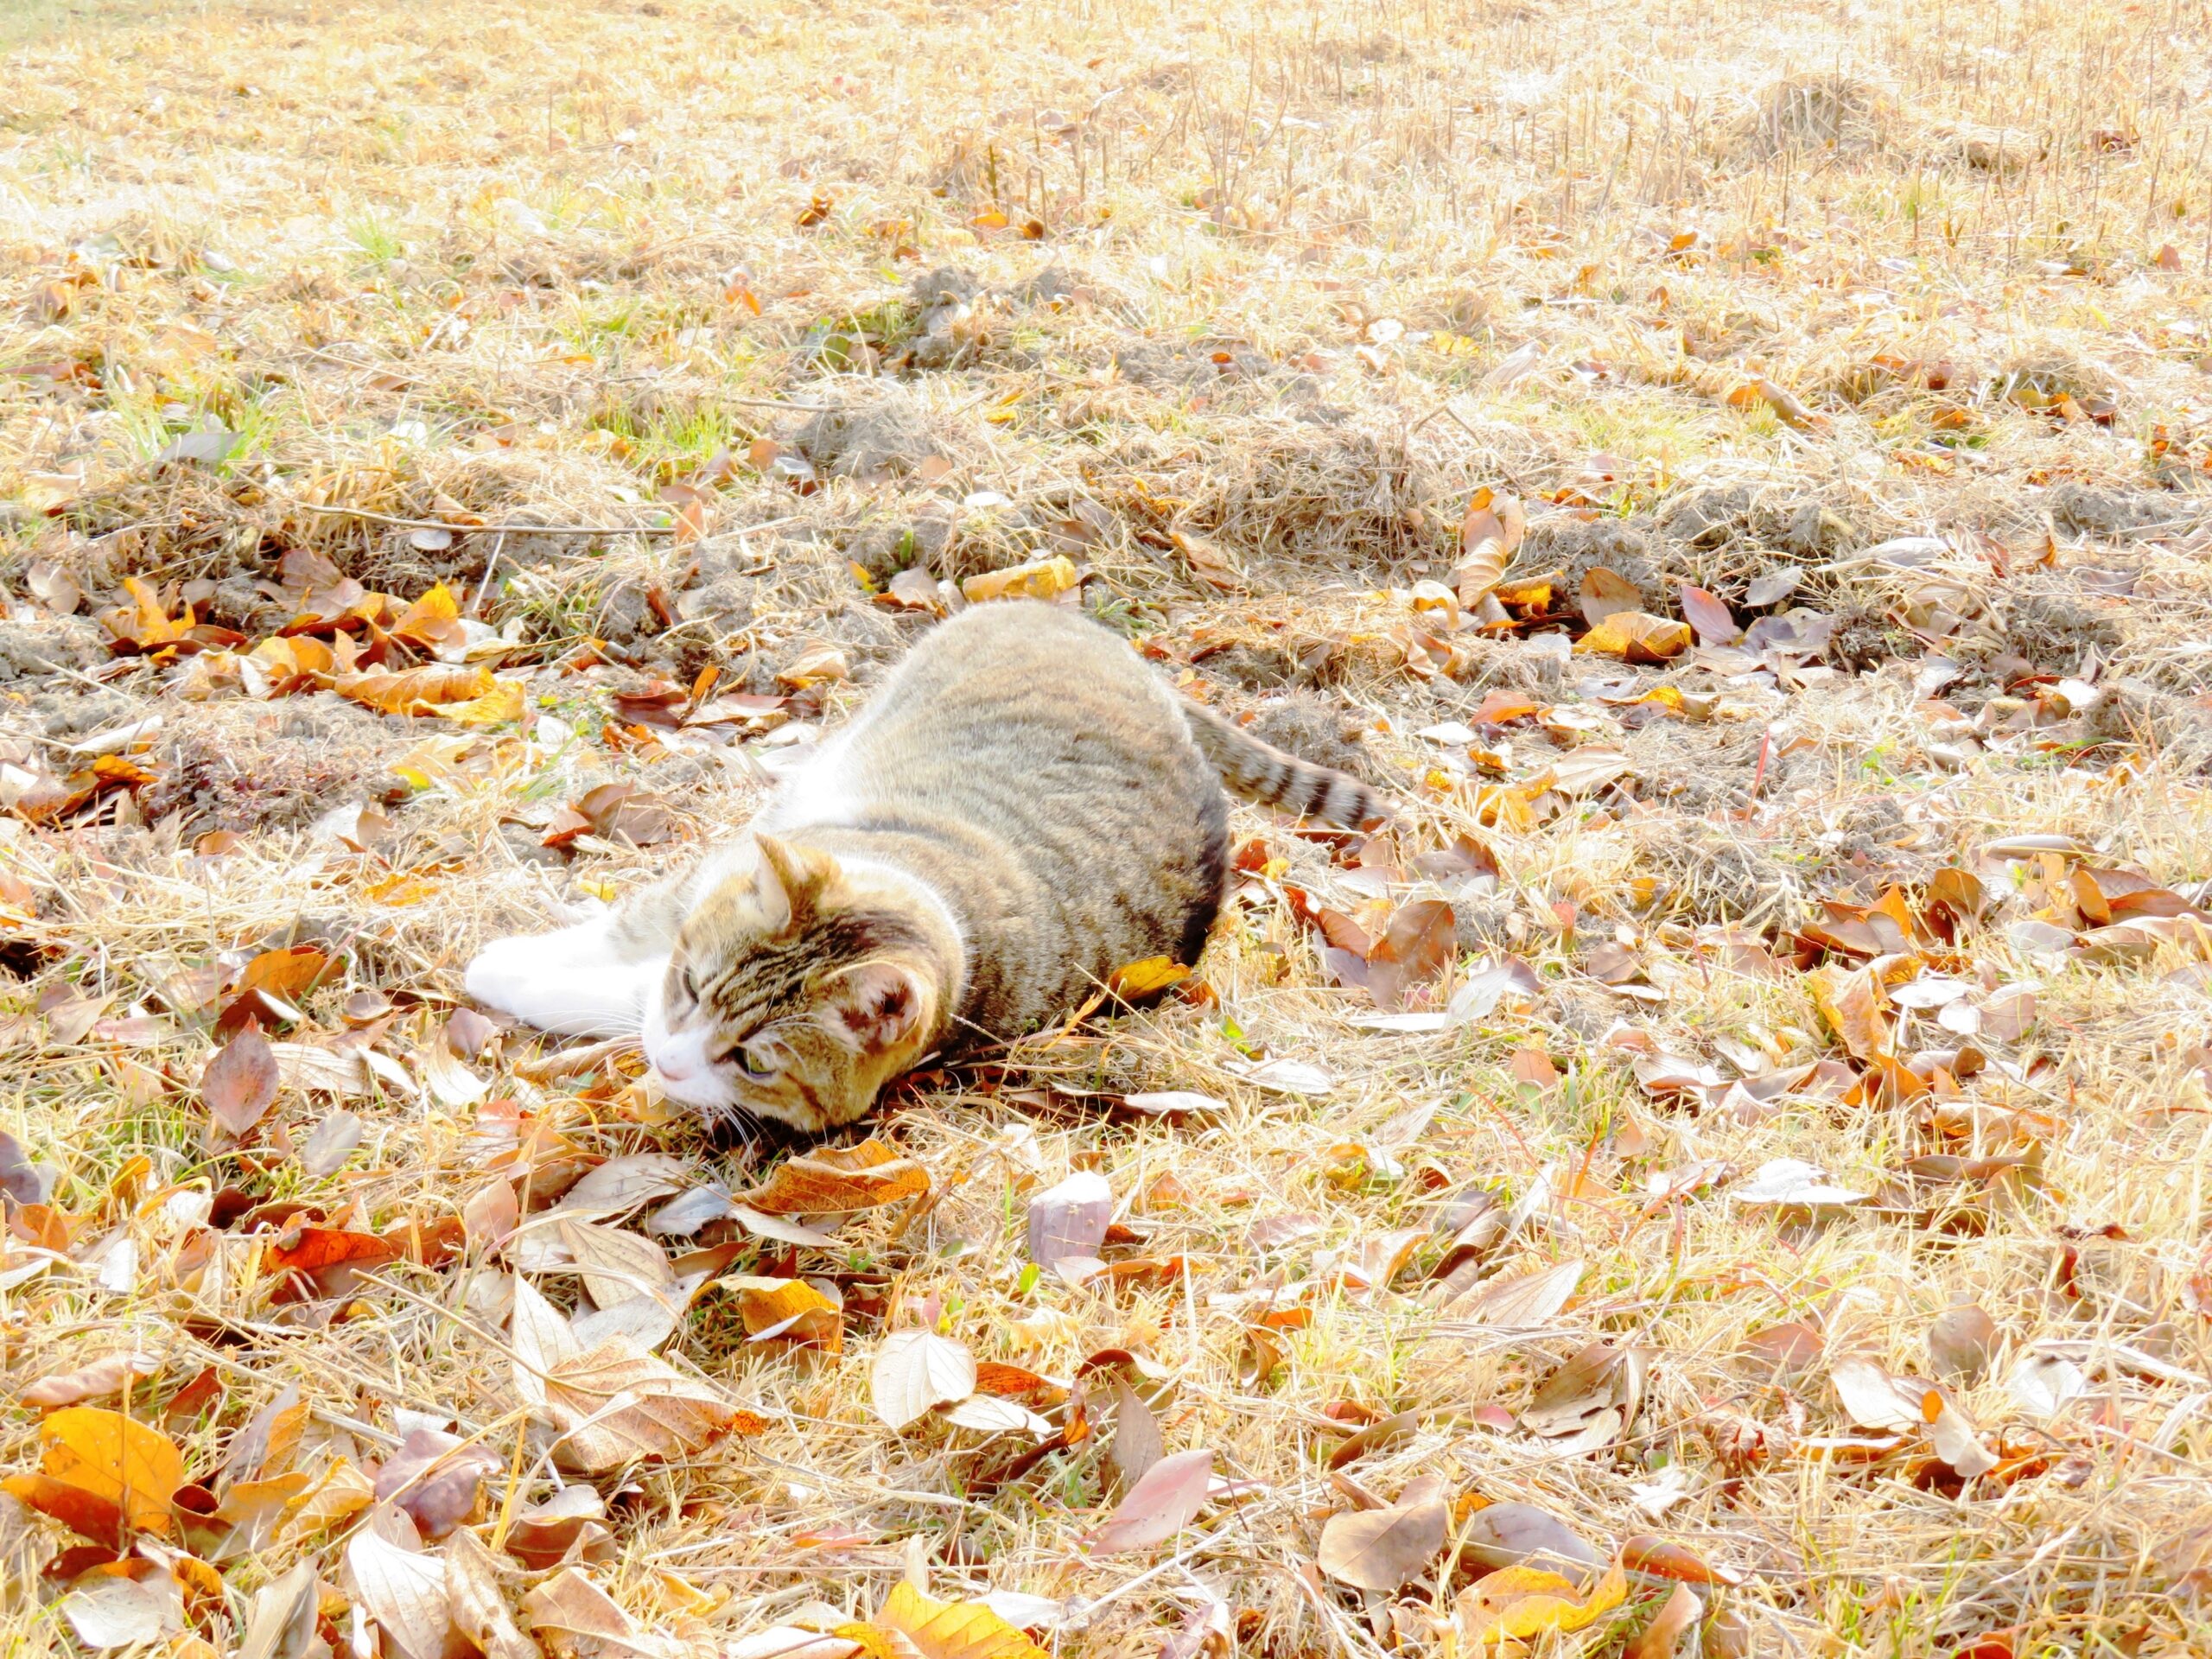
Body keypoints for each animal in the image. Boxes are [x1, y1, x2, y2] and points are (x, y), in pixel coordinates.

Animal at [467, 601, 1380, 1141]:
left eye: (754, 1064)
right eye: (692, 987)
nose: (667, 1067)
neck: (942, 895)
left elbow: (617, 988)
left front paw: (513, 978)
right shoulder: (694, 893)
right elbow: (625, 937)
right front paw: (513, 961)